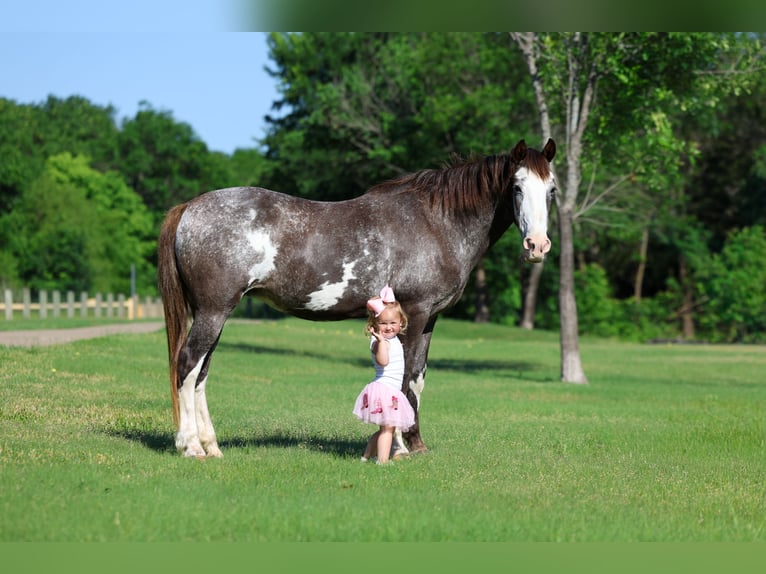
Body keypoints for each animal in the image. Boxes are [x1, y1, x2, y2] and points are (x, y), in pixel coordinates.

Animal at [158, 138, 557, 458]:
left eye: (551, 189)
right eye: (517, 187)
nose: (537, 246)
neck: (436, 223)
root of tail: (190, 208)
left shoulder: (429, 319)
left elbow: (417, 380)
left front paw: (416, 443)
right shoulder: (414, 312)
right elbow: (403, 379)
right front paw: (399, 446)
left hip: (215, 313)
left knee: (200, 373)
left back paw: (211, 446)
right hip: (213, 311)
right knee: (188, 364)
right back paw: (190, 446)